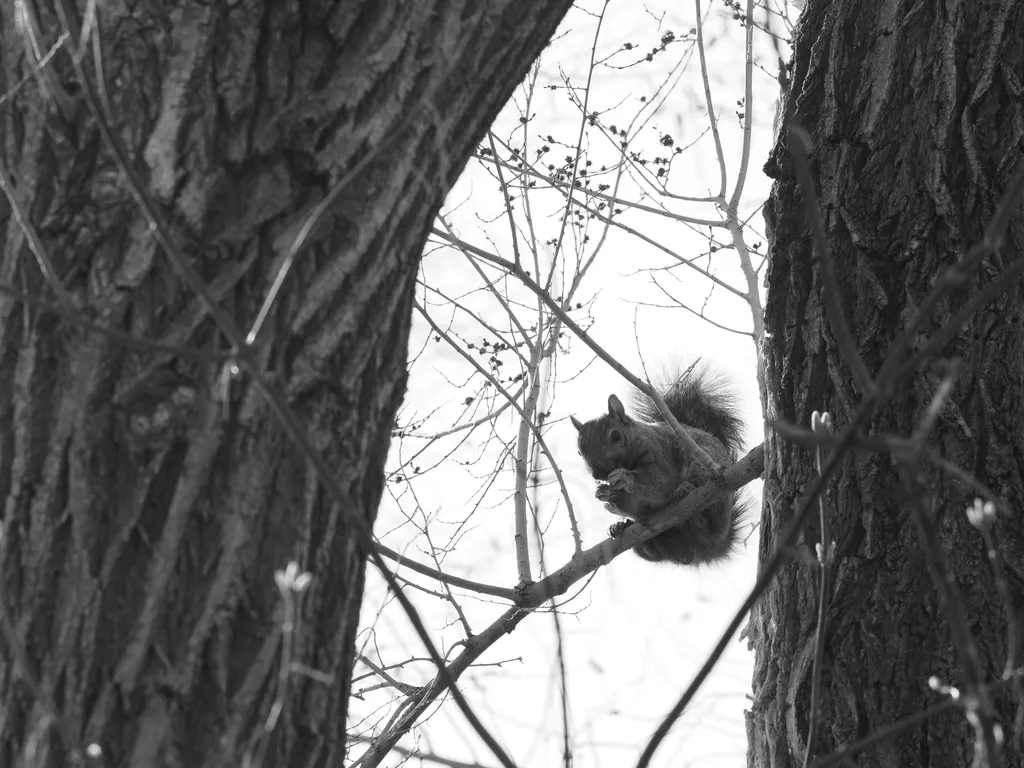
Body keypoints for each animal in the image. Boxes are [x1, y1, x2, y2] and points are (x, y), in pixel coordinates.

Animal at [569, 366, 745, 565]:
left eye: (616, 436)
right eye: (579, 451)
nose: (598, 474)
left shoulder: (659, 454)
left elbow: (659, 483)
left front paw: (625, 477)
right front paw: (605, 494)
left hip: (706, 465)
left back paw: (686, 492)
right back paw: (621, 527)